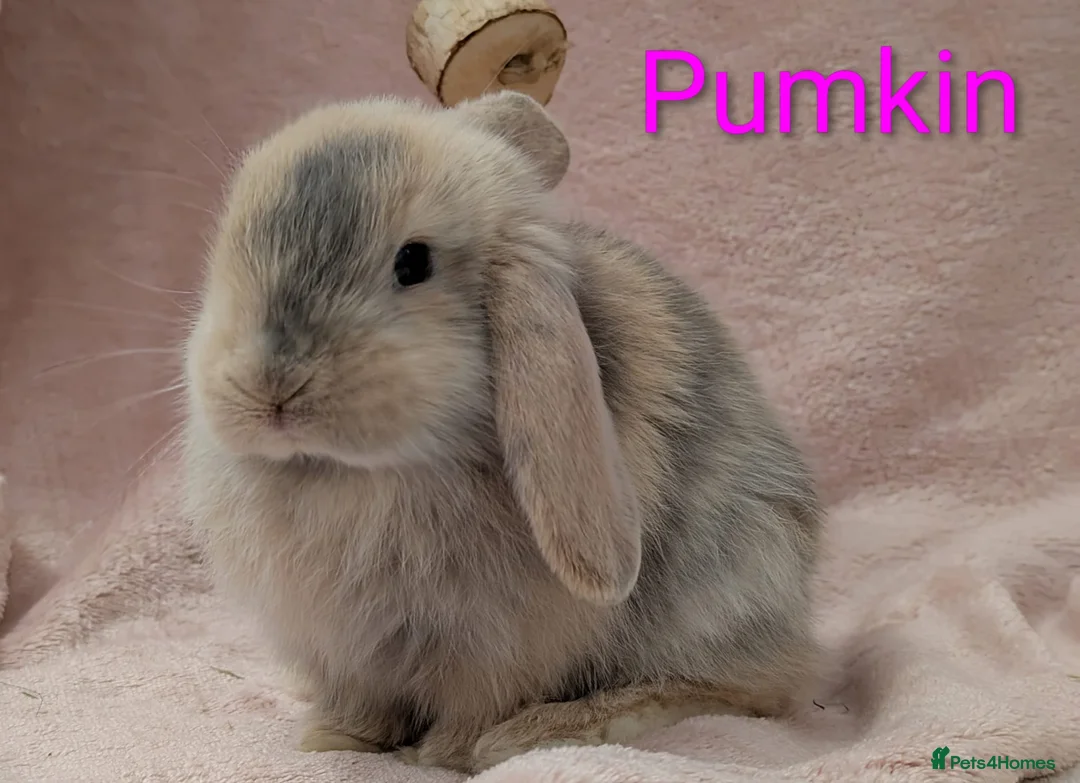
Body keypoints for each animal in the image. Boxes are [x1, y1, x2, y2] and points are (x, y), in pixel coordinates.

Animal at [181, 90, 823, 774]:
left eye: (414, 262)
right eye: (230, 237)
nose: (270, 387)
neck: (353, 472)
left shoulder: (497, 646)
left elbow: (474, 704)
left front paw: (442, 756)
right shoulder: (340, 646)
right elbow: (361, 701)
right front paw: (333, 739)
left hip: (728, 582)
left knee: (745, 686)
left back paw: (544, 729)